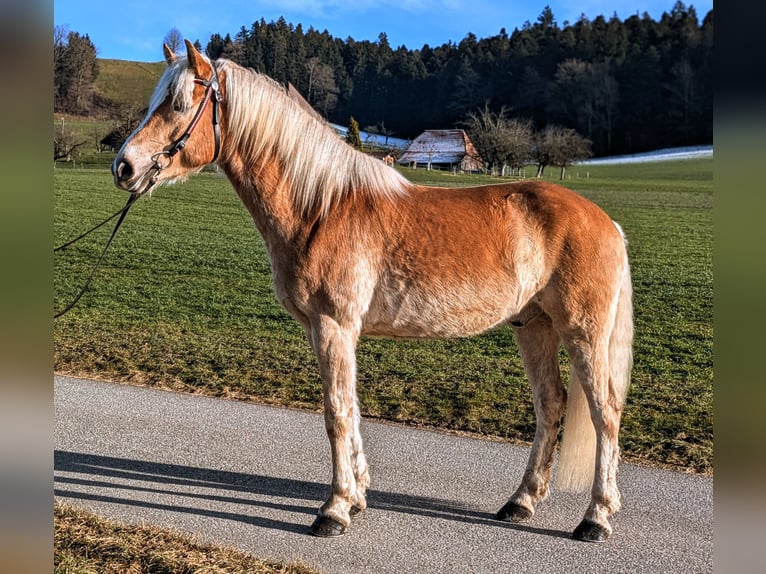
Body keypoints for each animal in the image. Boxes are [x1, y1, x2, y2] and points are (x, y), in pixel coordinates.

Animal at [112, 41, 636, 544]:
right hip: (533, 327)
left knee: (605, 413)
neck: (321, 207)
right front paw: (358, 496)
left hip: (582, 333)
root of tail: (606, 222)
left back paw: (596, 517)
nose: (124, 166)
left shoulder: (334, 325)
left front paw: (334, 510)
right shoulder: (331, 330)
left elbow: (337, 413)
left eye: (180, 104)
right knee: (551, 404)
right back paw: (521, 502)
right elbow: (352, 408)